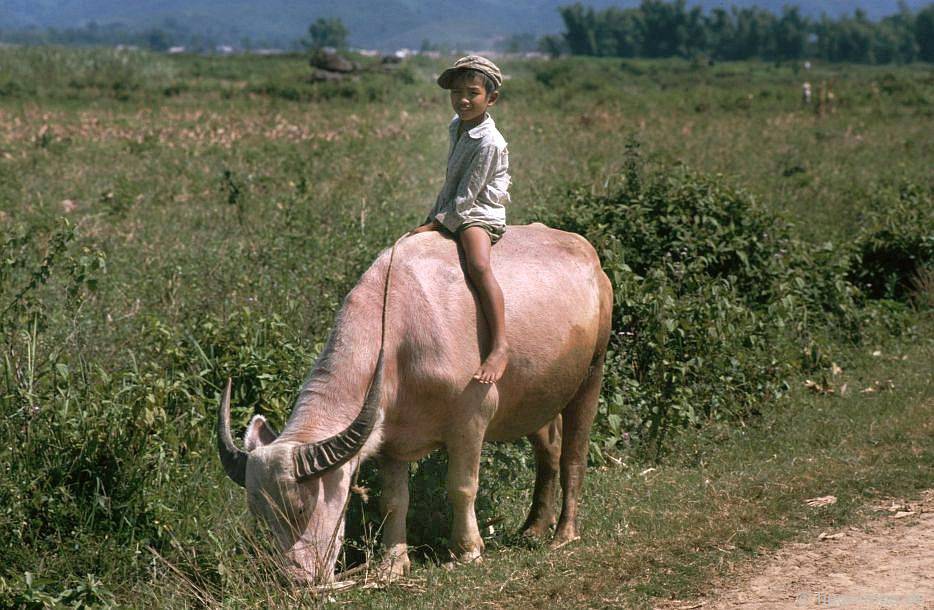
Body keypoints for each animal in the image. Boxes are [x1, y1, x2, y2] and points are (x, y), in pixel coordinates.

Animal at [218, 222, 616, 580]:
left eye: (301, 508)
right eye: (259, 514)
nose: (293, 578)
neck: (401, 335)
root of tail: (588, 256)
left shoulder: (471, 420)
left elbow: (461, 486)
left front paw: (467, 550)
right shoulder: (388, 441)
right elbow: (393, 501)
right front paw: (393, 563)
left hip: (592, 373)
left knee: (573, 455)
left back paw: (564, 533)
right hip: (538, 395)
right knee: (548, 447)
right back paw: (533, 527)